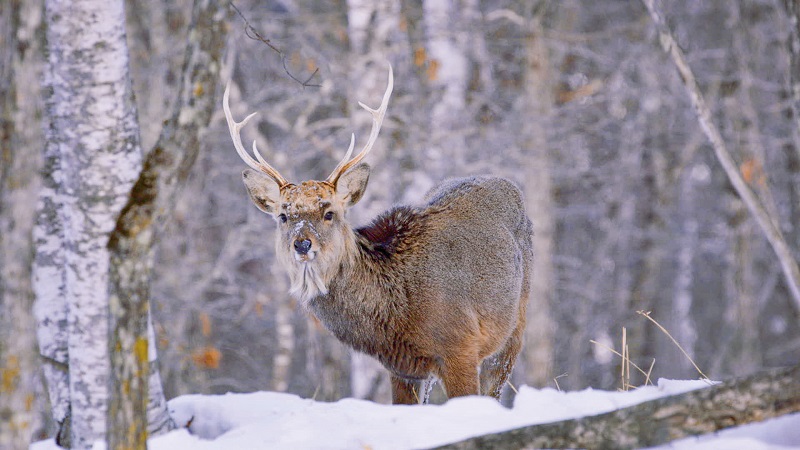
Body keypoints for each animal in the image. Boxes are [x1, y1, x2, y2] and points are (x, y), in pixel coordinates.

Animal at [222, 64, 532, 404]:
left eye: (329, 212)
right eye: (283, 215)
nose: (302, 244)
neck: (397, 310)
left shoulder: (461, 346)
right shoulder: (402, 367)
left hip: (514, 328)